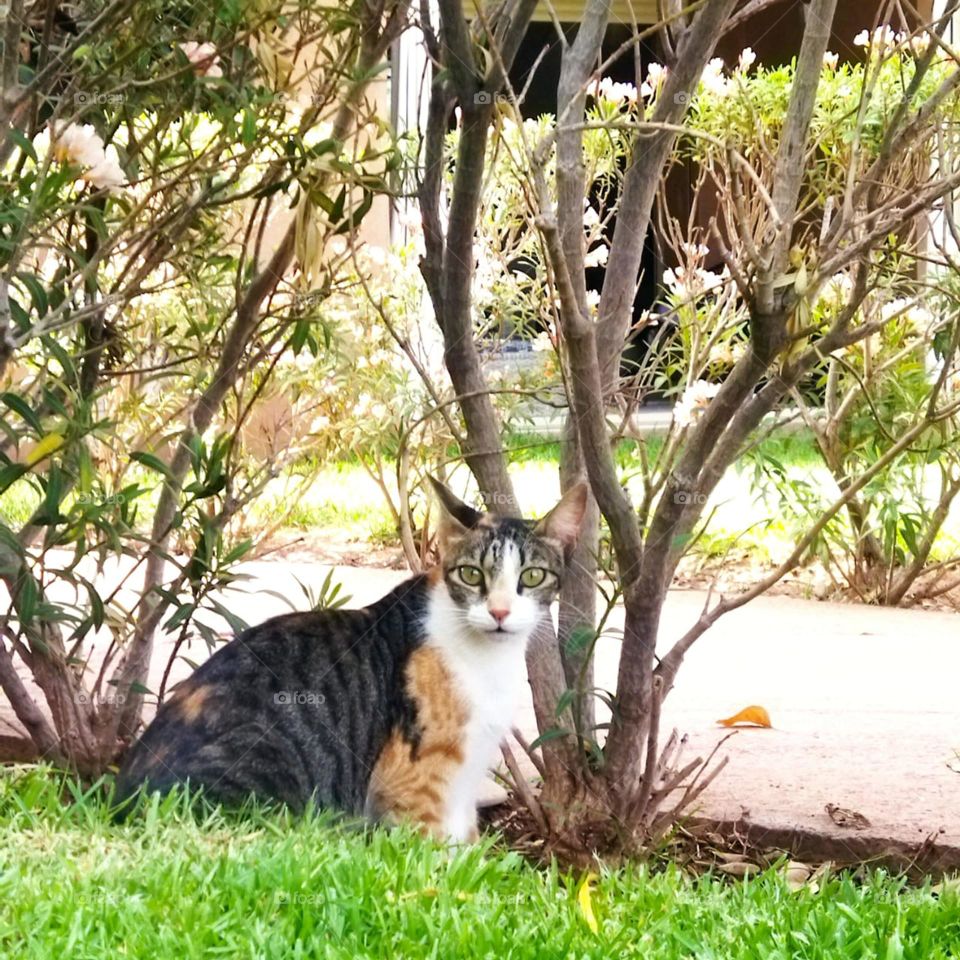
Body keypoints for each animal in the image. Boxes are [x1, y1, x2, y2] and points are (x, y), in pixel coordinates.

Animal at [116, 480, 588, 840]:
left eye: (532, 576)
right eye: (472, 574)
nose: (500, 612)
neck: (488, 659)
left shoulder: (463, 788)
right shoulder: (416, 788)